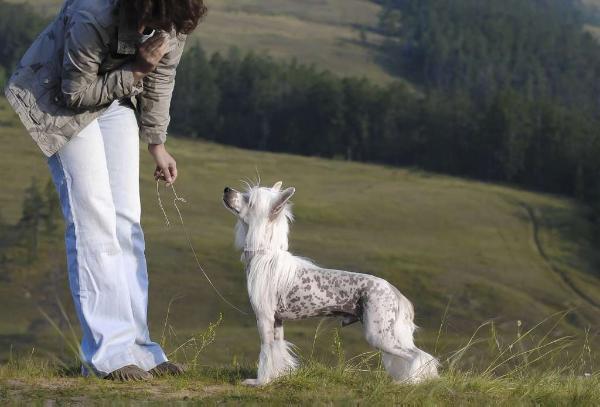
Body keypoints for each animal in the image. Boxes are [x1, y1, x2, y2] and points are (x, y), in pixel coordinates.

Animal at [223, 183, 438, 388]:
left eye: (249, 200)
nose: (227, 190)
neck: (265, 255)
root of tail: (393, 290)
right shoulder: (277, 321)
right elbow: (277, 350)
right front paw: (277, 377)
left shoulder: (264, 318)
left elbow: (266, 351)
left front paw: (261, 382)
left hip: (379, 335)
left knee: (418, 356)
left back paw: (412, 382)